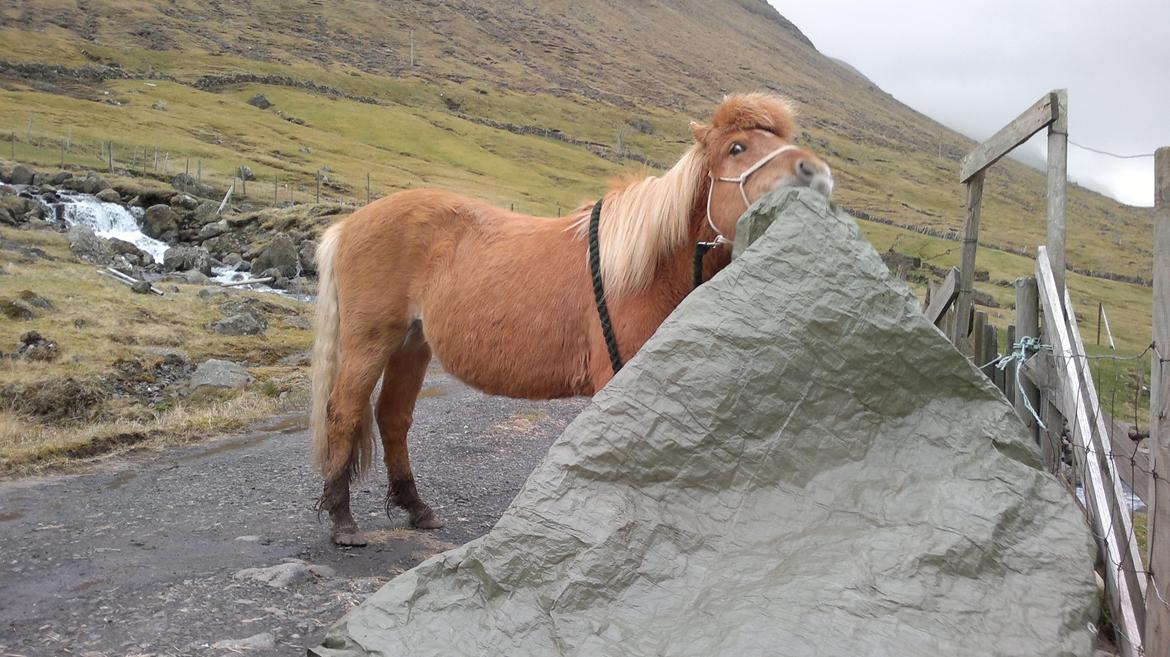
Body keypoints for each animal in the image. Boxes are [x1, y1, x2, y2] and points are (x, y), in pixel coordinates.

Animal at [306, 90, 828, 542]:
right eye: (738, 147)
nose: (818, 175)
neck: (646, 267)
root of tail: (350, 223)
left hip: (414, 342)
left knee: (392, 416)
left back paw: (417, 509)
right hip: (370, 339)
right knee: (344, 412)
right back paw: (342, 521)